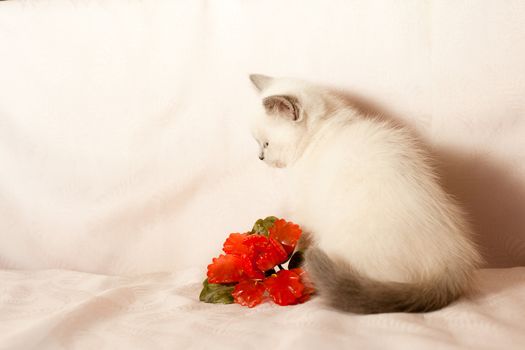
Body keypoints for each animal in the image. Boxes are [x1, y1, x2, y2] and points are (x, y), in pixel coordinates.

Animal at [248, 72, 482, 314]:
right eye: (258, 143)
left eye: (266, 143)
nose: (260, 157)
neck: (319, 134)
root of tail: (451, 267)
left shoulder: (305, 211)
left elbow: (299, 240)